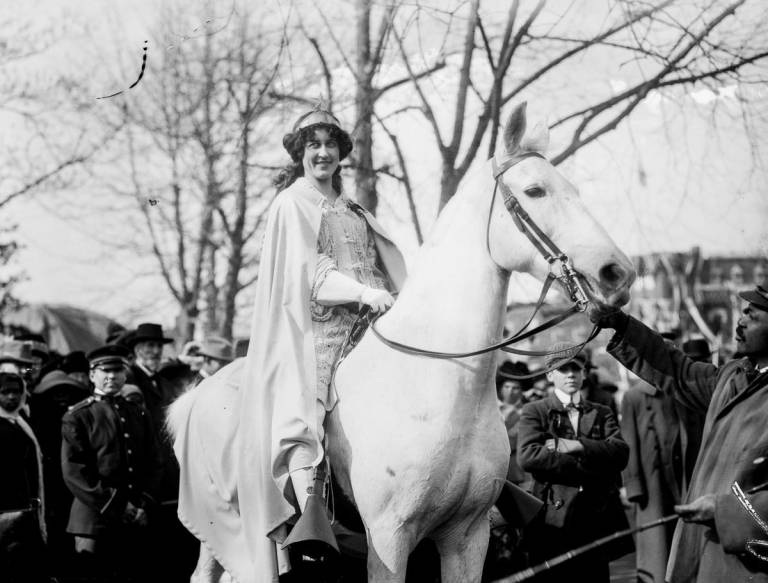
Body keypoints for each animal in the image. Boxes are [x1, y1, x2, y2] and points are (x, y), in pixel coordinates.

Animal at [170, 105, 636, 583]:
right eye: (535, 190)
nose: (618, 273)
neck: (437, 385)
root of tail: (196, 395)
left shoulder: (467, 537)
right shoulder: (389, 538)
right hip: (228, 533)